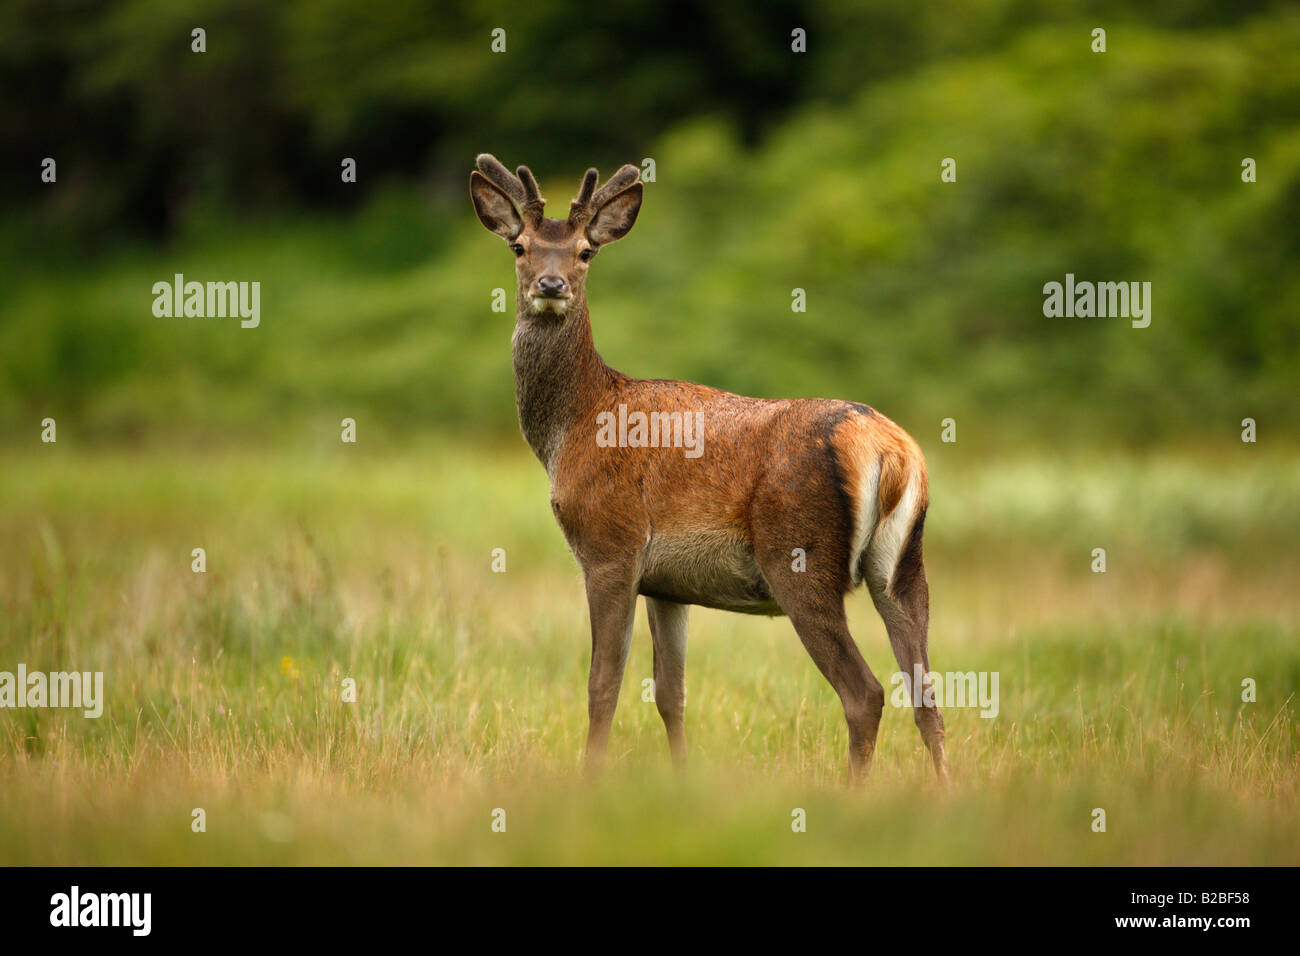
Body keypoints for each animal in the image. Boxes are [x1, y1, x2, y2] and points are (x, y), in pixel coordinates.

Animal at [467, 155, 946, 785]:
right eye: (519, 246)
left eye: (584, 252)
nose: (552, 286)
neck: (573, 425)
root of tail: (891, 451)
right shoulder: (667, 583)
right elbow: (672, 693)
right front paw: (680, 779)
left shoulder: (610, 546)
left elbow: (603, 686)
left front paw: (590, 780)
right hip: (904, 563)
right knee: (927, 695)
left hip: (798, 554)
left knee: (865, 693)